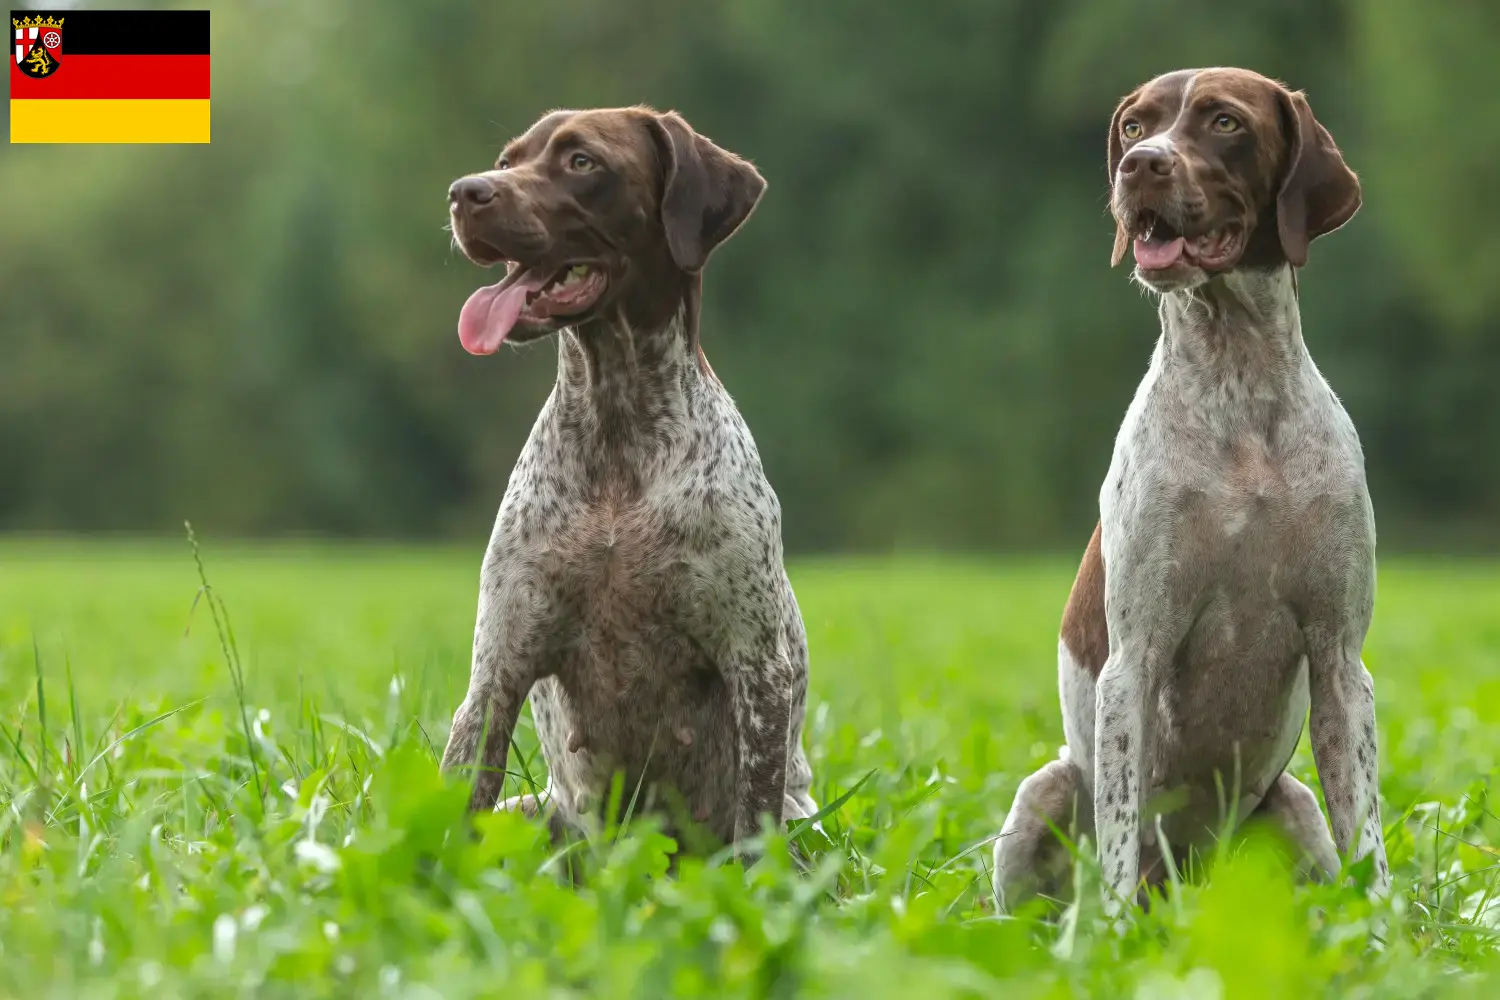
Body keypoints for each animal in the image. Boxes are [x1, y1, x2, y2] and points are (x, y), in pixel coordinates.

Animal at [438, 105, 822, 851]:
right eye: (507, 160)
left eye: (582, 161)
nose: (465, 192)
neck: (618, 431)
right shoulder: (498, 668)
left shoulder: (756, 667)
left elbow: (753, 827)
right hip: (536, 812)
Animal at [996, 70, 1392, 917]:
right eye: (1134, 124)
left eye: (1224, 122)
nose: (1140, 164)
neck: (1241, 386)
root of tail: (1183, 886)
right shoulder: (1134, 659)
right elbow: (1117, 833)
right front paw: (1111, 940)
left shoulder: (1341, 660)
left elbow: (1369, 843)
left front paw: (1382, 937)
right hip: (1045, 791)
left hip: (1292, 807)